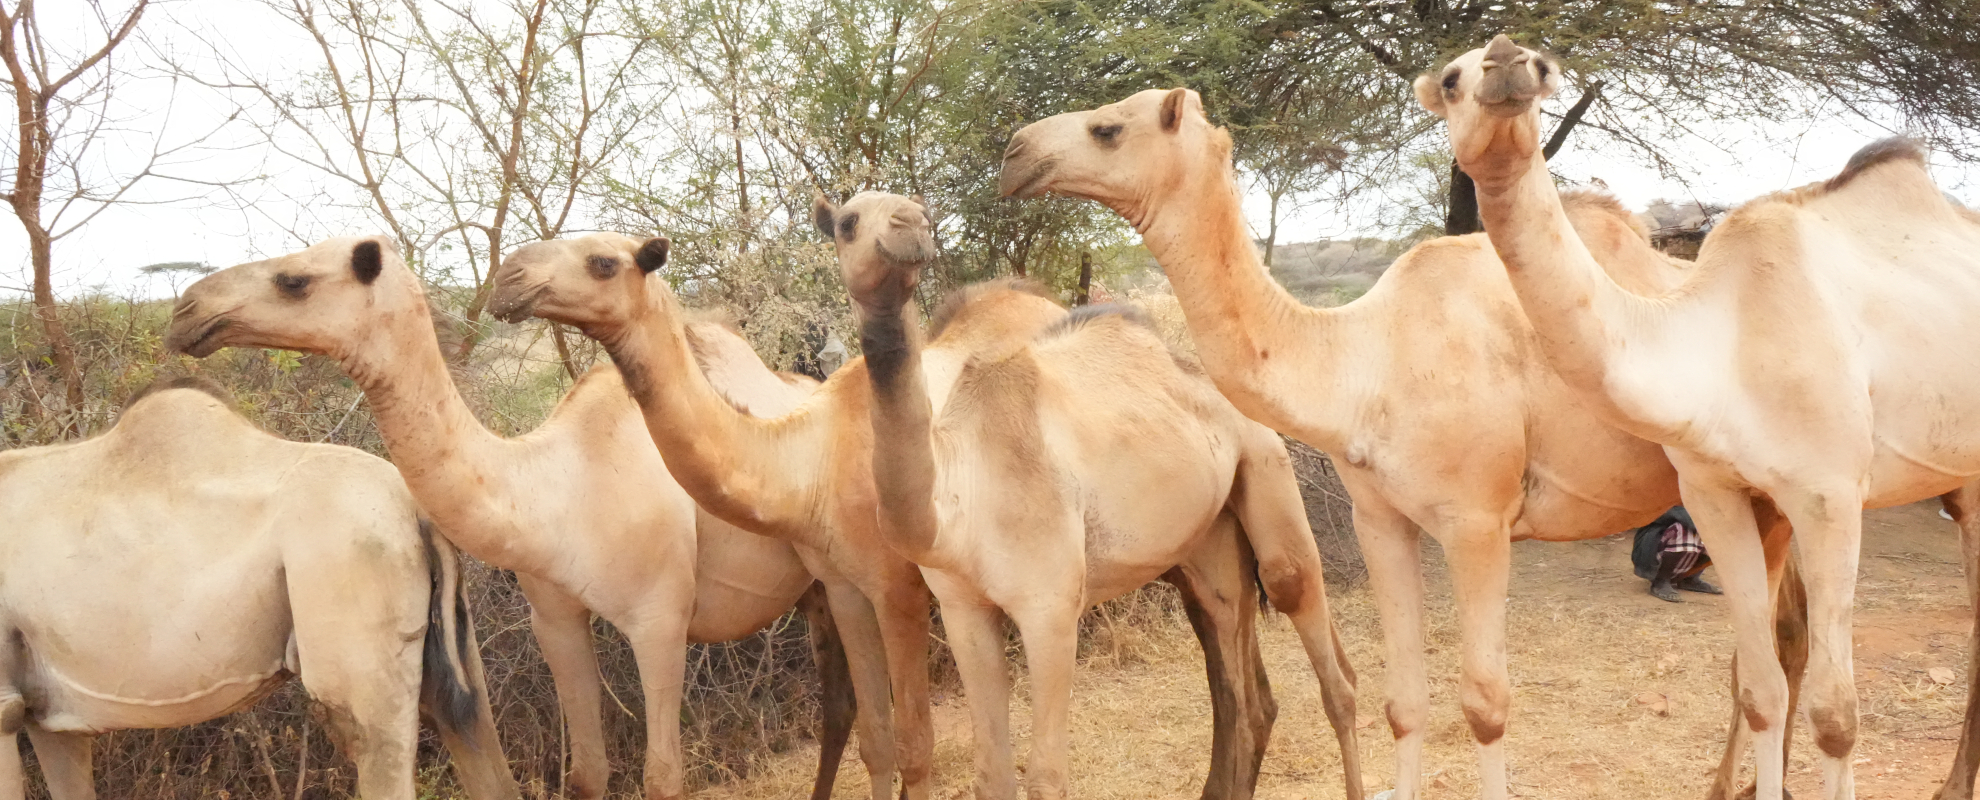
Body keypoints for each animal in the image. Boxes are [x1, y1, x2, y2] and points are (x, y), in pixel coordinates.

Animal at [164, 240, 857, 800]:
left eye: (294, 279)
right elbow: (587, 773)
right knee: (842, 705)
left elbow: (662, 777)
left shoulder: (660, 620)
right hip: (815, 588)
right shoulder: (555, 617)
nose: (187, 311)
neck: (560, 489)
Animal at [484, 231, 1326, 800]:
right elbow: (879, 740)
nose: (506, 278)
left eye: (602, 260)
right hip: (1187, 538)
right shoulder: (845, 586)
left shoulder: (898, 586)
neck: (813, 455)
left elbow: (917, 742)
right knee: (1233, 664)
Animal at [812, 189, 1362, 800]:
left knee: (1320, 647)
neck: (955, 499)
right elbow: (992, 774)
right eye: (847, 223)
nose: (909, 228)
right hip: (1208, 543)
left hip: (1265, 463)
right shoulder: (962, 610)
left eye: (922, 214)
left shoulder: (1049, 608)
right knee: (1241, 681)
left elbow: (1047, 777)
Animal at [995, 88, 1838, 800]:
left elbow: (1487, 704)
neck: (1365, 359)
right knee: (1776, 642)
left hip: (1758, 492)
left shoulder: (1478, 522)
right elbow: (1403, 700)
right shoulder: (1380, 517)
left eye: (1108, 128)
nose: (1014, 150)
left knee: (1768, 650)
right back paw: (1736, 783)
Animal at [1419, 35, 1980, 800]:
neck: (1717, 342)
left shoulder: (1832, 497)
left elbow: (1836, 716)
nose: (1506, 60)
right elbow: (1762, 686)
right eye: (1451, 78)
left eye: (1541, 68)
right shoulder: (1719, 493)